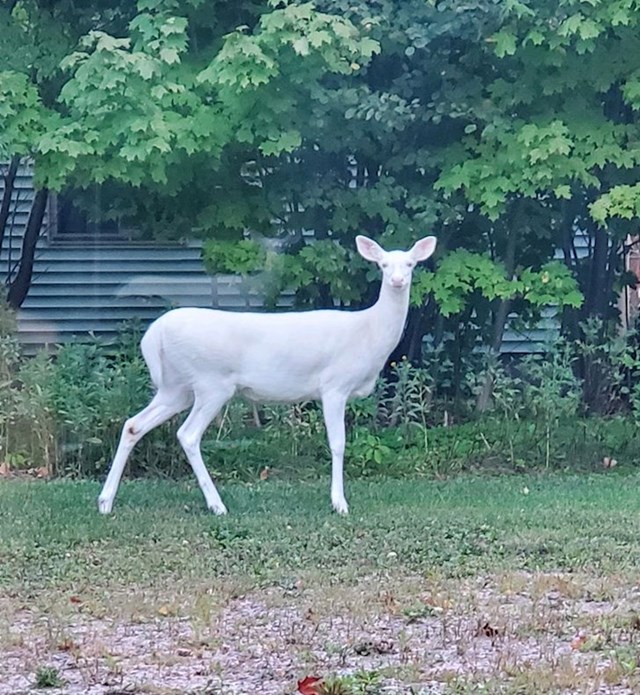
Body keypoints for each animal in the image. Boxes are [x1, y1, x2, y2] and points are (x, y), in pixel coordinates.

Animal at [97, 237, 438, 512]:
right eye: (382, 264)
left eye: (410, 264)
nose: (397, 280)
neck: (369, 335)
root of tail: (153, 334)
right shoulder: (333, 385)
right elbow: (338, 443)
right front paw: (339, 503)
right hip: (211, 382)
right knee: (188, 434)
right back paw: (217, 505)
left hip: (176, 387)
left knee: (133, 425)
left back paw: (105, 502)